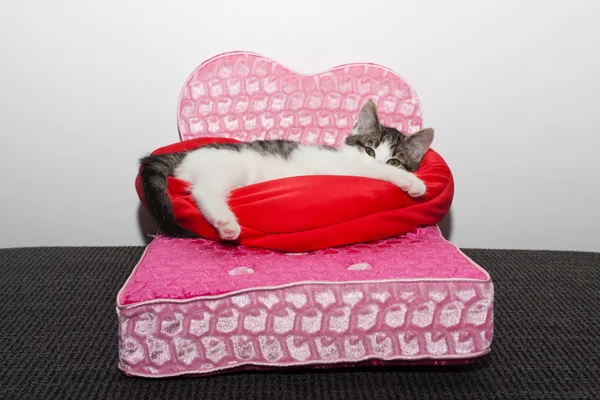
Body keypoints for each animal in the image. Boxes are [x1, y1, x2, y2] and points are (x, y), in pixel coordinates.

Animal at [139, 100, 434, 241]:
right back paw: (226, 223)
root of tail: (186, 154)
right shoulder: (344, 168)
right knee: (204, 191)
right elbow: (373, 174)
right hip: (228, 167)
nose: (376, 161)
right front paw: (413, 183)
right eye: (370, 151)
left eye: (394, 160)